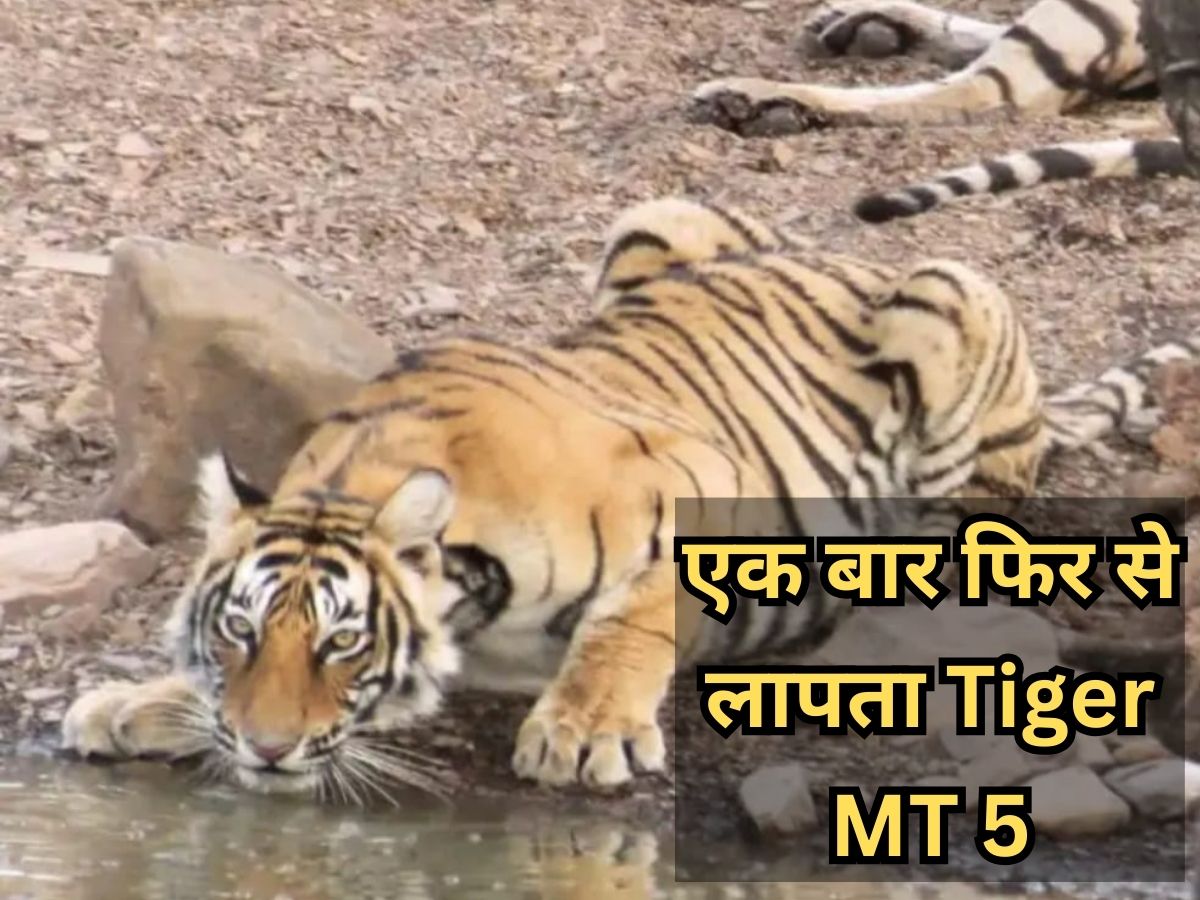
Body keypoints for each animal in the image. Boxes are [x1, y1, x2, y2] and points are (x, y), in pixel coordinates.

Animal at [58, 196, 1199, 800]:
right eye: (241, 632)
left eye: (342, 643)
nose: (266, 749)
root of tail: (831, 250)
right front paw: (138, 704)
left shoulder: (702, 479)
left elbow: (636, 612)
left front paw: (585, 727)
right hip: (658, 220)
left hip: (949, 295)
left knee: (987, 504)